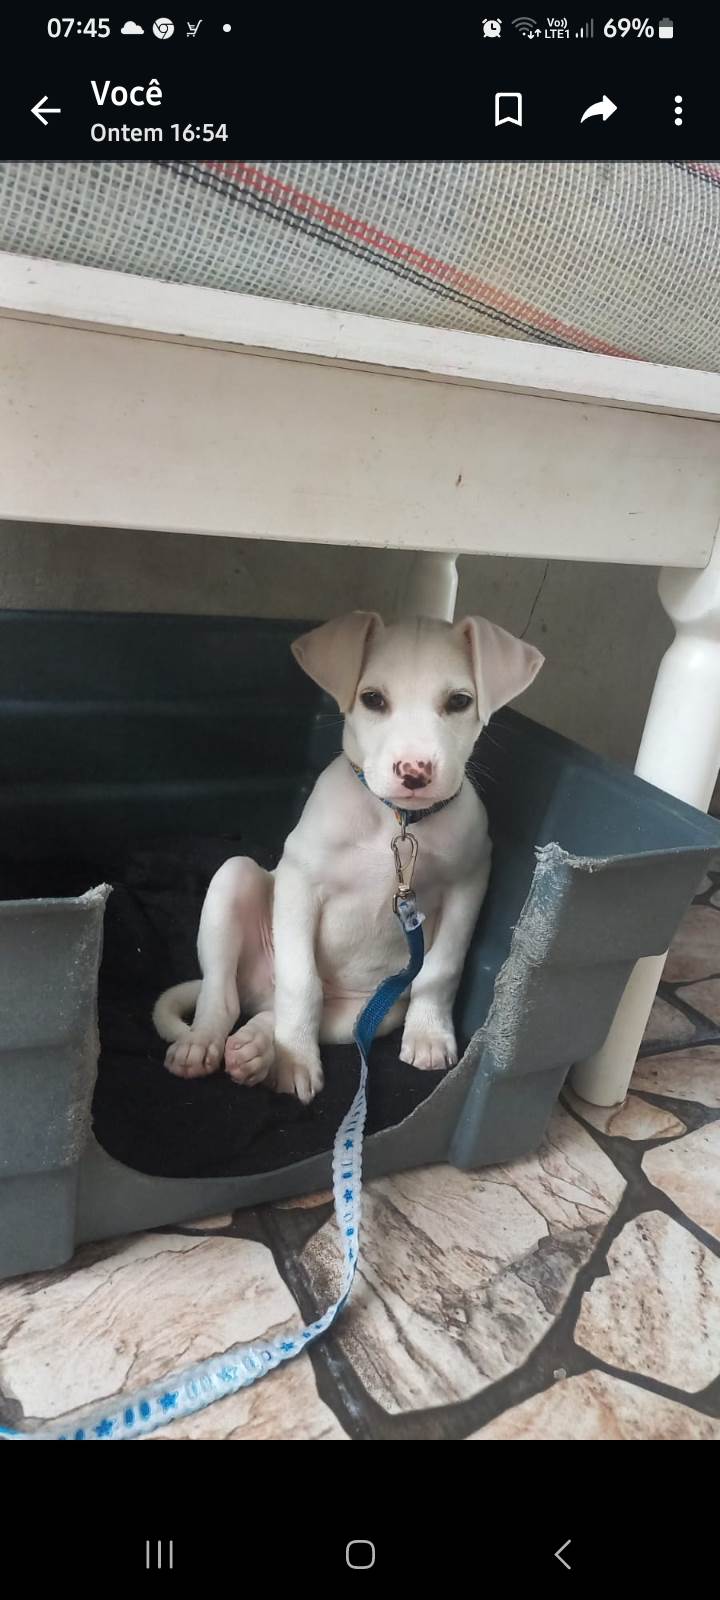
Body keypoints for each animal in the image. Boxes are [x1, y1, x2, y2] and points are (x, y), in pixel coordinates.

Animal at [152, 612, 543, 1102]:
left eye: (459, 701)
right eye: (373, 699)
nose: (414, 772)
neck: (397, 821)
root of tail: (256, 990)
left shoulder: (468, 885)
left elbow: (440, 970)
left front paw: (429, 1034)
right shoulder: (299, 882)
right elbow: (302, 983)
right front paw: (296, 1060)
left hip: (367, 1015)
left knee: (270, 1014)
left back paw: (255, 1050)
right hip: (233, 878)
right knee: (223, 997)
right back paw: (207, 1042)